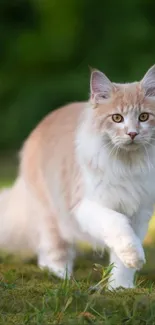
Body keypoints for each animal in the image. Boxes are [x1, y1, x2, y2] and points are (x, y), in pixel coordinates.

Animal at [0, 64, 155, 288]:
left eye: (144, 117)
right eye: (117, 118)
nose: (132, 134)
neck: (127, 165)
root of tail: (44, 121)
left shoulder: (140, 212)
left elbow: (121, 259)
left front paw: (120, 287)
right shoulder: (85, 205)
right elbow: (117, 224)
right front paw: (134, 257)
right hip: (51, 214)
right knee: (51, 251)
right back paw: (61, 278)